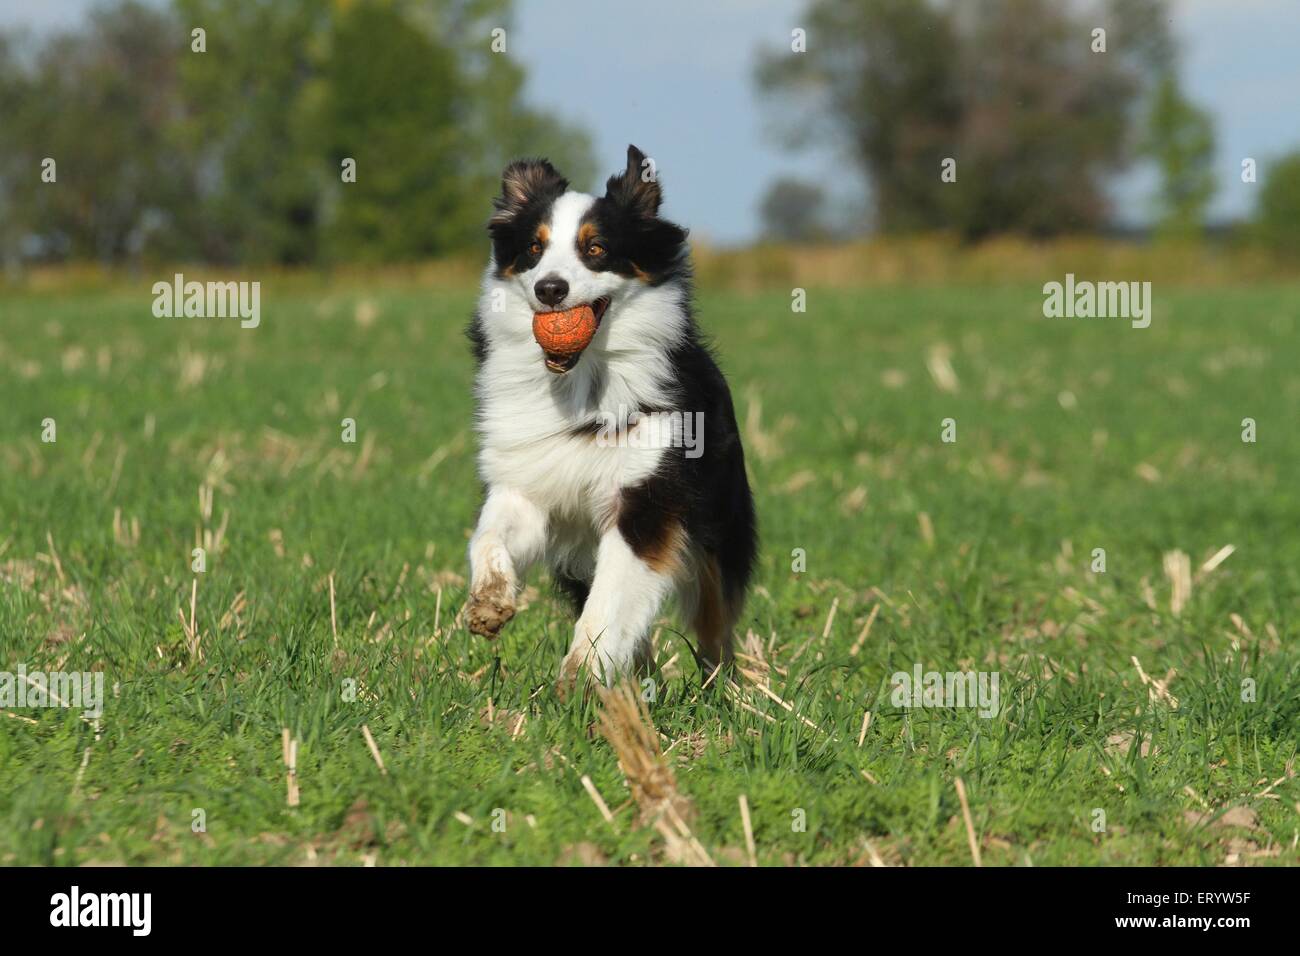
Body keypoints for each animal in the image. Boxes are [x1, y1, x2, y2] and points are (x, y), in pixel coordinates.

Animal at [465, 143, 759, 697]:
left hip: (718, 525)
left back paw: (725, 694)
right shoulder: (529, 485)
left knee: (714, 623)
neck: (580, 383)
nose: (550, 289)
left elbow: (611, 599)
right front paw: (489, 602)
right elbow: (489, 534)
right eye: (533, 249)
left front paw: (579, 676)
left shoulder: (646, 499)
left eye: (596, 249)